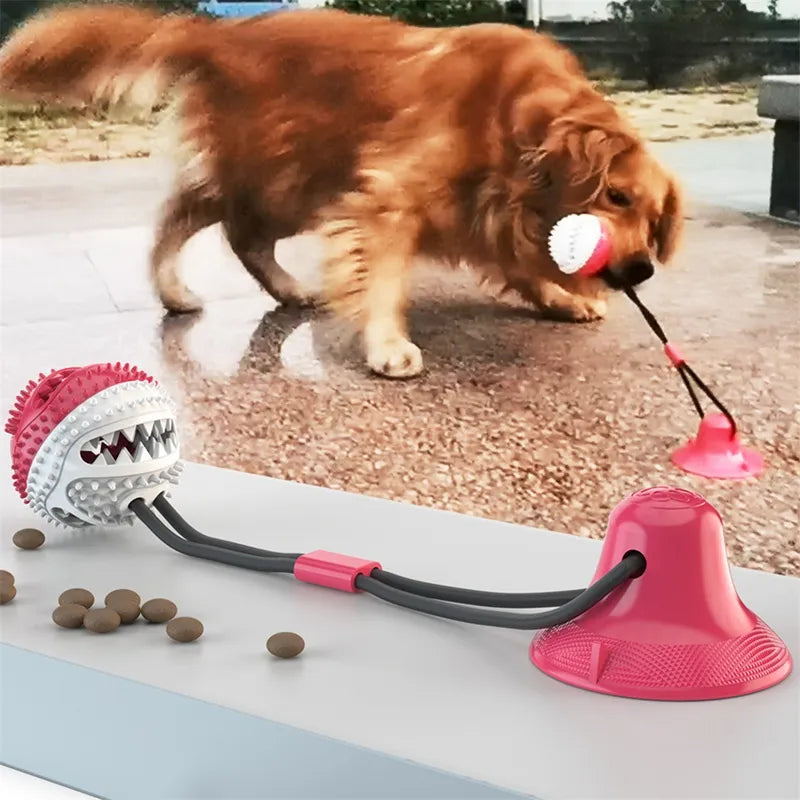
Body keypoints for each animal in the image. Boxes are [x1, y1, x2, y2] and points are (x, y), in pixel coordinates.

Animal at [1, 3, 680, 378]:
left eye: (653, 220)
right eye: (617, 197)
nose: (642, 270)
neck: (515, 121)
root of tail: (219, 34)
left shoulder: (480, 213)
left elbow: (517, 262)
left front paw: (558, 299)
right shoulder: (387, 198)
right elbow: (383, 280)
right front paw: (387, 345)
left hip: (289, 181)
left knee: (220, 222)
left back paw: (280, 289)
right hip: (289, 179)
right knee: (200, 218)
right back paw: (180, 289)